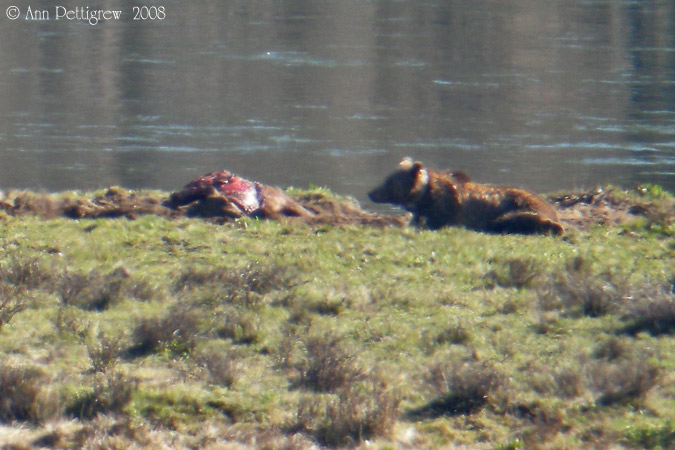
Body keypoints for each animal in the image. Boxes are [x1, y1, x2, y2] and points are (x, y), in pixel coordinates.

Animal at [370, 158, 564, 236]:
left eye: (389, 181)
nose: (371, 193)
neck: (424, 196)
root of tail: (552, 210)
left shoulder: (446, 210)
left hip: (522, 208)